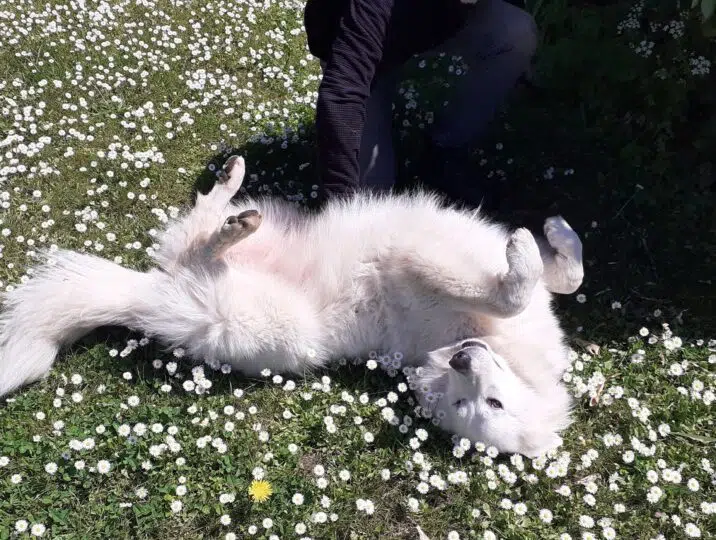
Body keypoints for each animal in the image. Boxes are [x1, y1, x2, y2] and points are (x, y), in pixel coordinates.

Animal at [0, 156, 584, 457]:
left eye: (486, 406)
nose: (463, 359)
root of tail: (147, 297)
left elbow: (526, 288)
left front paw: (532, 249)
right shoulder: (427, 260)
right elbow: (544, 281)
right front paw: (549, 237)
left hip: (248, 313)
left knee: (200, 247)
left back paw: (232, 219)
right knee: (202, 227)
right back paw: (232, 195)